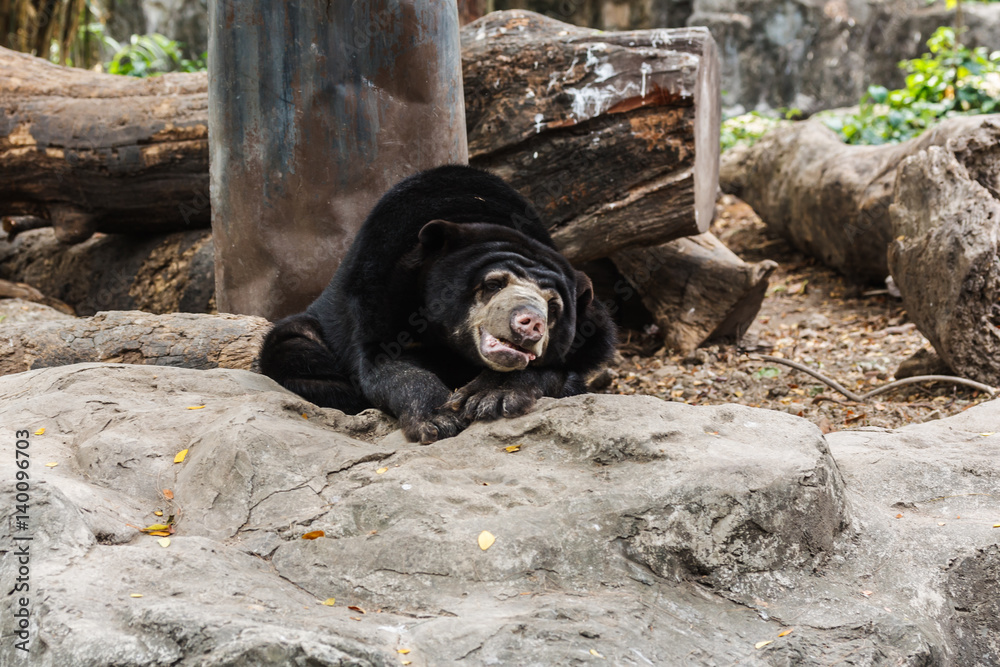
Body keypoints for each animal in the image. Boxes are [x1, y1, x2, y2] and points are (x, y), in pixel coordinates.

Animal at [258, 164, 616, 444]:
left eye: (553, 307)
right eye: (492, 284)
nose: (530, 322)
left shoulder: (591, 330)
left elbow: (567, 365)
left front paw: (492, 396)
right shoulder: (376, 285)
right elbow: (385, 362)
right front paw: (439, 418)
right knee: (293, 346)